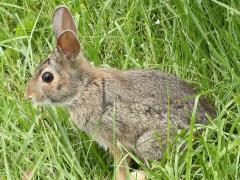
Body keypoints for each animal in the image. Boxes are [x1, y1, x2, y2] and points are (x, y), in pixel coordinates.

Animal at [24, 4, 216, 179]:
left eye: (47, 77)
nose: (28, 96)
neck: (84, 88)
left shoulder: (114, 136)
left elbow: (121, 164)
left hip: (149, 140)